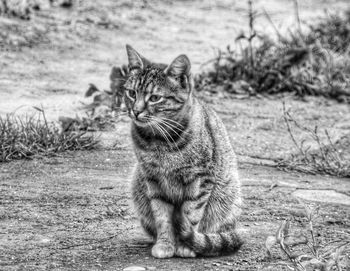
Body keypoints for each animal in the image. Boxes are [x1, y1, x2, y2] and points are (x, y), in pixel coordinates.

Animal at [123, 44, 243, 260]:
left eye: (155, 98)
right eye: (132, 93)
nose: (135, 111)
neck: (159, 141)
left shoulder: (201, 179)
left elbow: (190, 214)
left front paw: (186, 245)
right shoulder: (153, 179)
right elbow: (162, 217)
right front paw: (165, 244)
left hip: (226, 197)